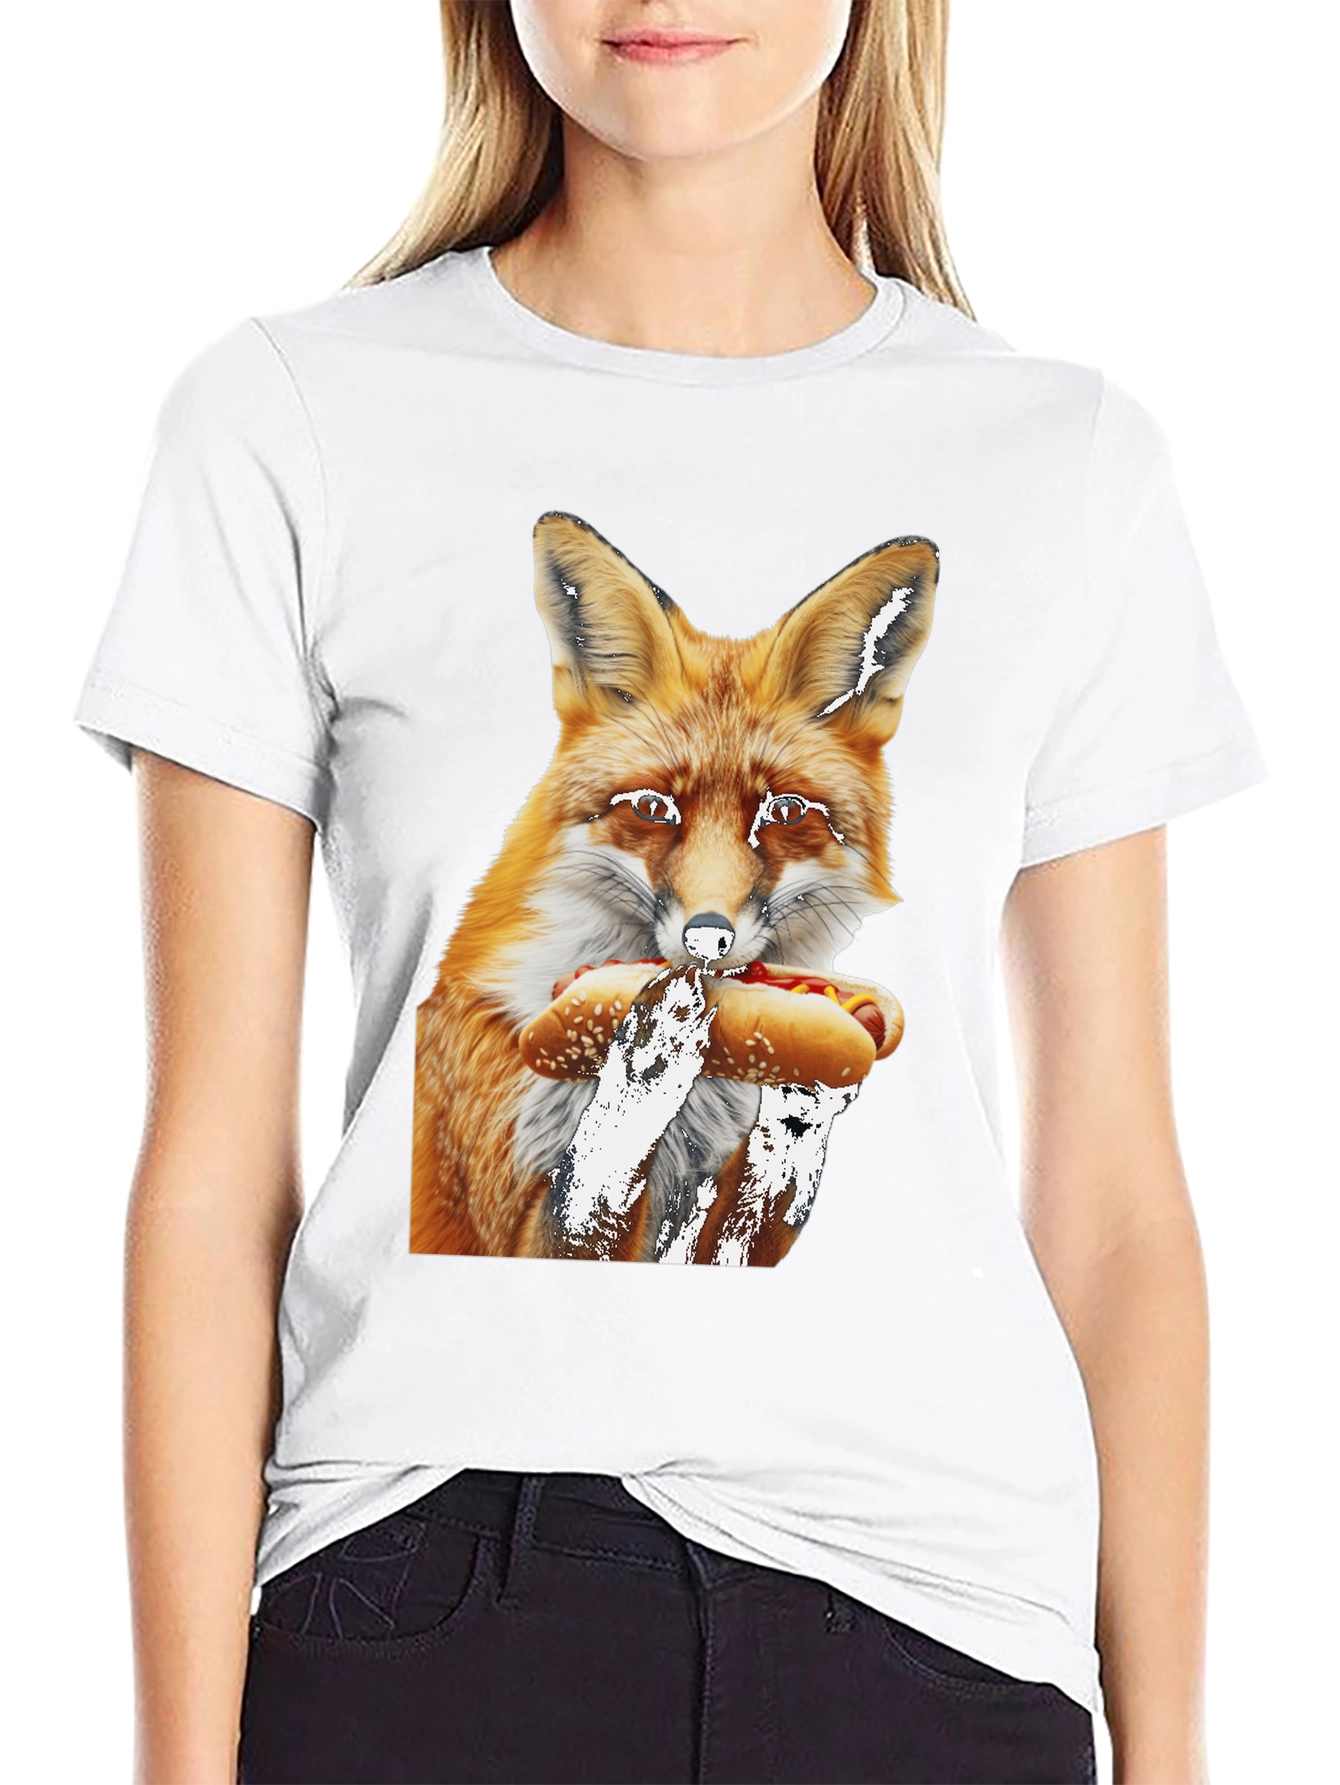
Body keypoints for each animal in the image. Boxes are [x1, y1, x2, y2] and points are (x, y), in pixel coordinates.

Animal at [410, 511, 938, 1266]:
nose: (707, 938)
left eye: (785, 812)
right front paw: (649, 1049)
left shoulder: (698, 1216)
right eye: (653, 808)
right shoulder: (503, 1216)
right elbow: (589, 1186)